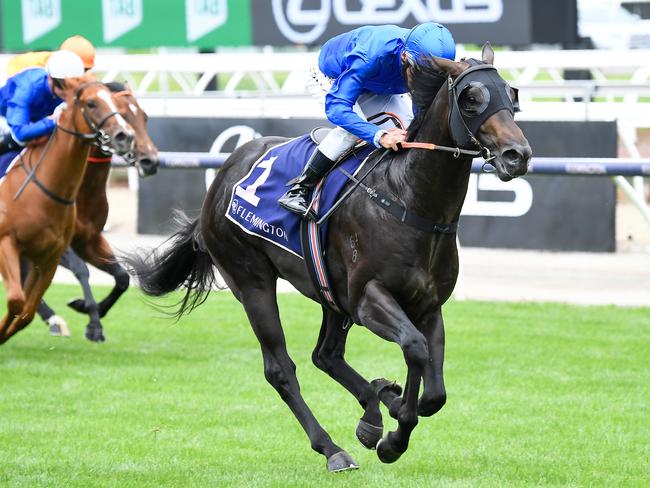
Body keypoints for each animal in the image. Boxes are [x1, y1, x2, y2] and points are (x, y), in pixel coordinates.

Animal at [0, 76, 134, 344]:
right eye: (91, 103)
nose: (123, 136)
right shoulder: (7, 242)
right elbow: (17, 300)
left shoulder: (53, 254)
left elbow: (25, 310)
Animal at [33, 82, 158, 342]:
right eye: (123, 114)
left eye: (144, 116)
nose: (150, 161)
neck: (83, 190)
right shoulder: (56, 243)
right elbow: (81, 270)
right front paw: (93, 323)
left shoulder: (90, 240)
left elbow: (122, 277)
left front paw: (87, 307)